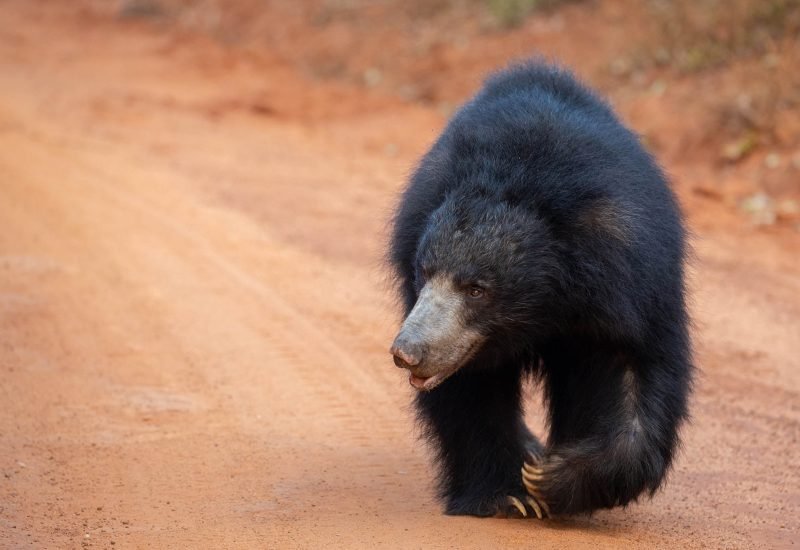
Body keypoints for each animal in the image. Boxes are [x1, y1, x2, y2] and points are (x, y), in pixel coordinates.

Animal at [388, 62, 692, 520]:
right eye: (424, 271)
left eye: (477, 289)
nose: (407, 352)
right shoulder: (465, 341)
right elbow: (470, 394)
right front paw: (507, 495)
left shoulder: (632, 288)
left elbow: (635, 376)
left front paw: (551, 477)